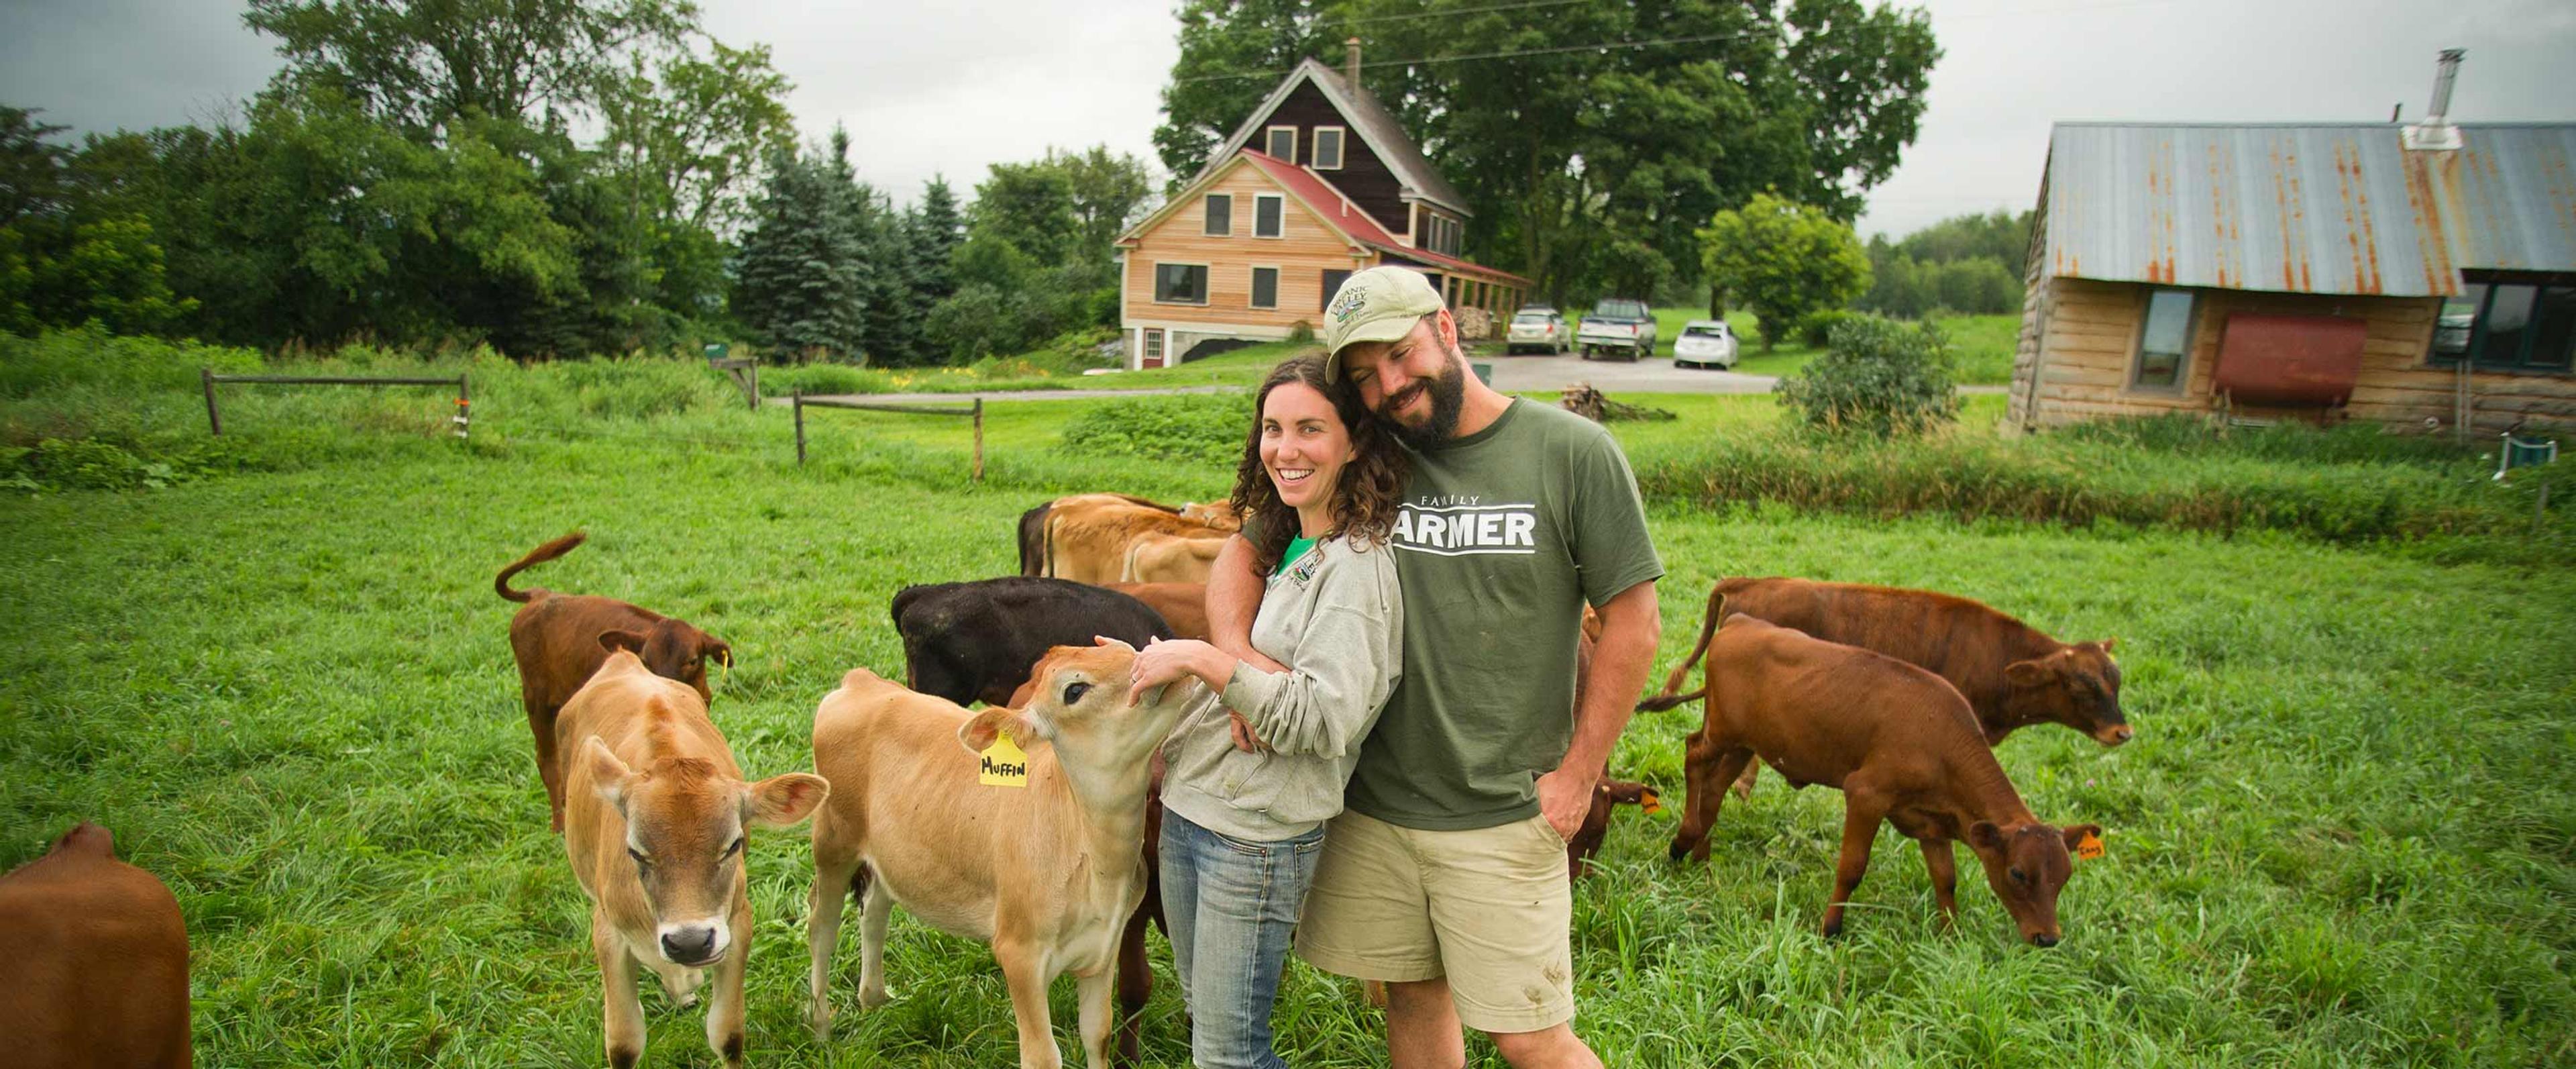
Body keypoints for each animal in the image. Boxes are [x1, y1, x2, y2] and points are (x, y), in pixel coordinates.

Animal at [499, 530, 737, 834]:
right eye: (646, 660)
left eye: (693, 660)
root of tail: (541, 596)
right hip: (536, 700)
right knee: (547, 761)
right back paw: (559, 826)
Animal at [561, 641, 824, 1066]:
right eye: (635, 852)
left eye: (733, 844)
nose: (689, 942)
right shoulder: (607, 931)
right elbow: (623, 1042)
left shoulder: (737, 921)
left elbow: (728, 1033)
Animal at [808, 641, 1200, 1066]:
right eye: (1074, 690)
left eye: (1129, 649)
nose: (1165, 665)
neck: (1095, 861)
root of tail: (863, 681)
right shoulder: (1019, 955)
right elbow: (1043, 1056)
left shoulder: (1104, 946)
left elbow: (1098, 1035)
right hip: (832, 840)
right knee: (822, 924)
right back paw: (821, 1026)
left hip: (889, 852)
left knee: (876, 906)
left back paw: (873, 998)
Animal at [1658, 610, 2102, 948]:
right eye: (2018, 874)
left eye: (2064, 877)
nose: (2048, 937)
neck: (1941, 736)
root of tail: (1742, 621)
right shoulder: (1866, 794)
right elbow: (1852, 868)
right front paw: (1830, 929)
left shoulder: (1932, 823)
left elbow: (1947, 880)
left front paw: (1951, 937)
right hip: (1722, 732)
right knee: (1693, 756)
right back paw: (1683, 842)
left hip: (1745, 744)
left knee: (1714, 788)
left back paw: (1702, 855)